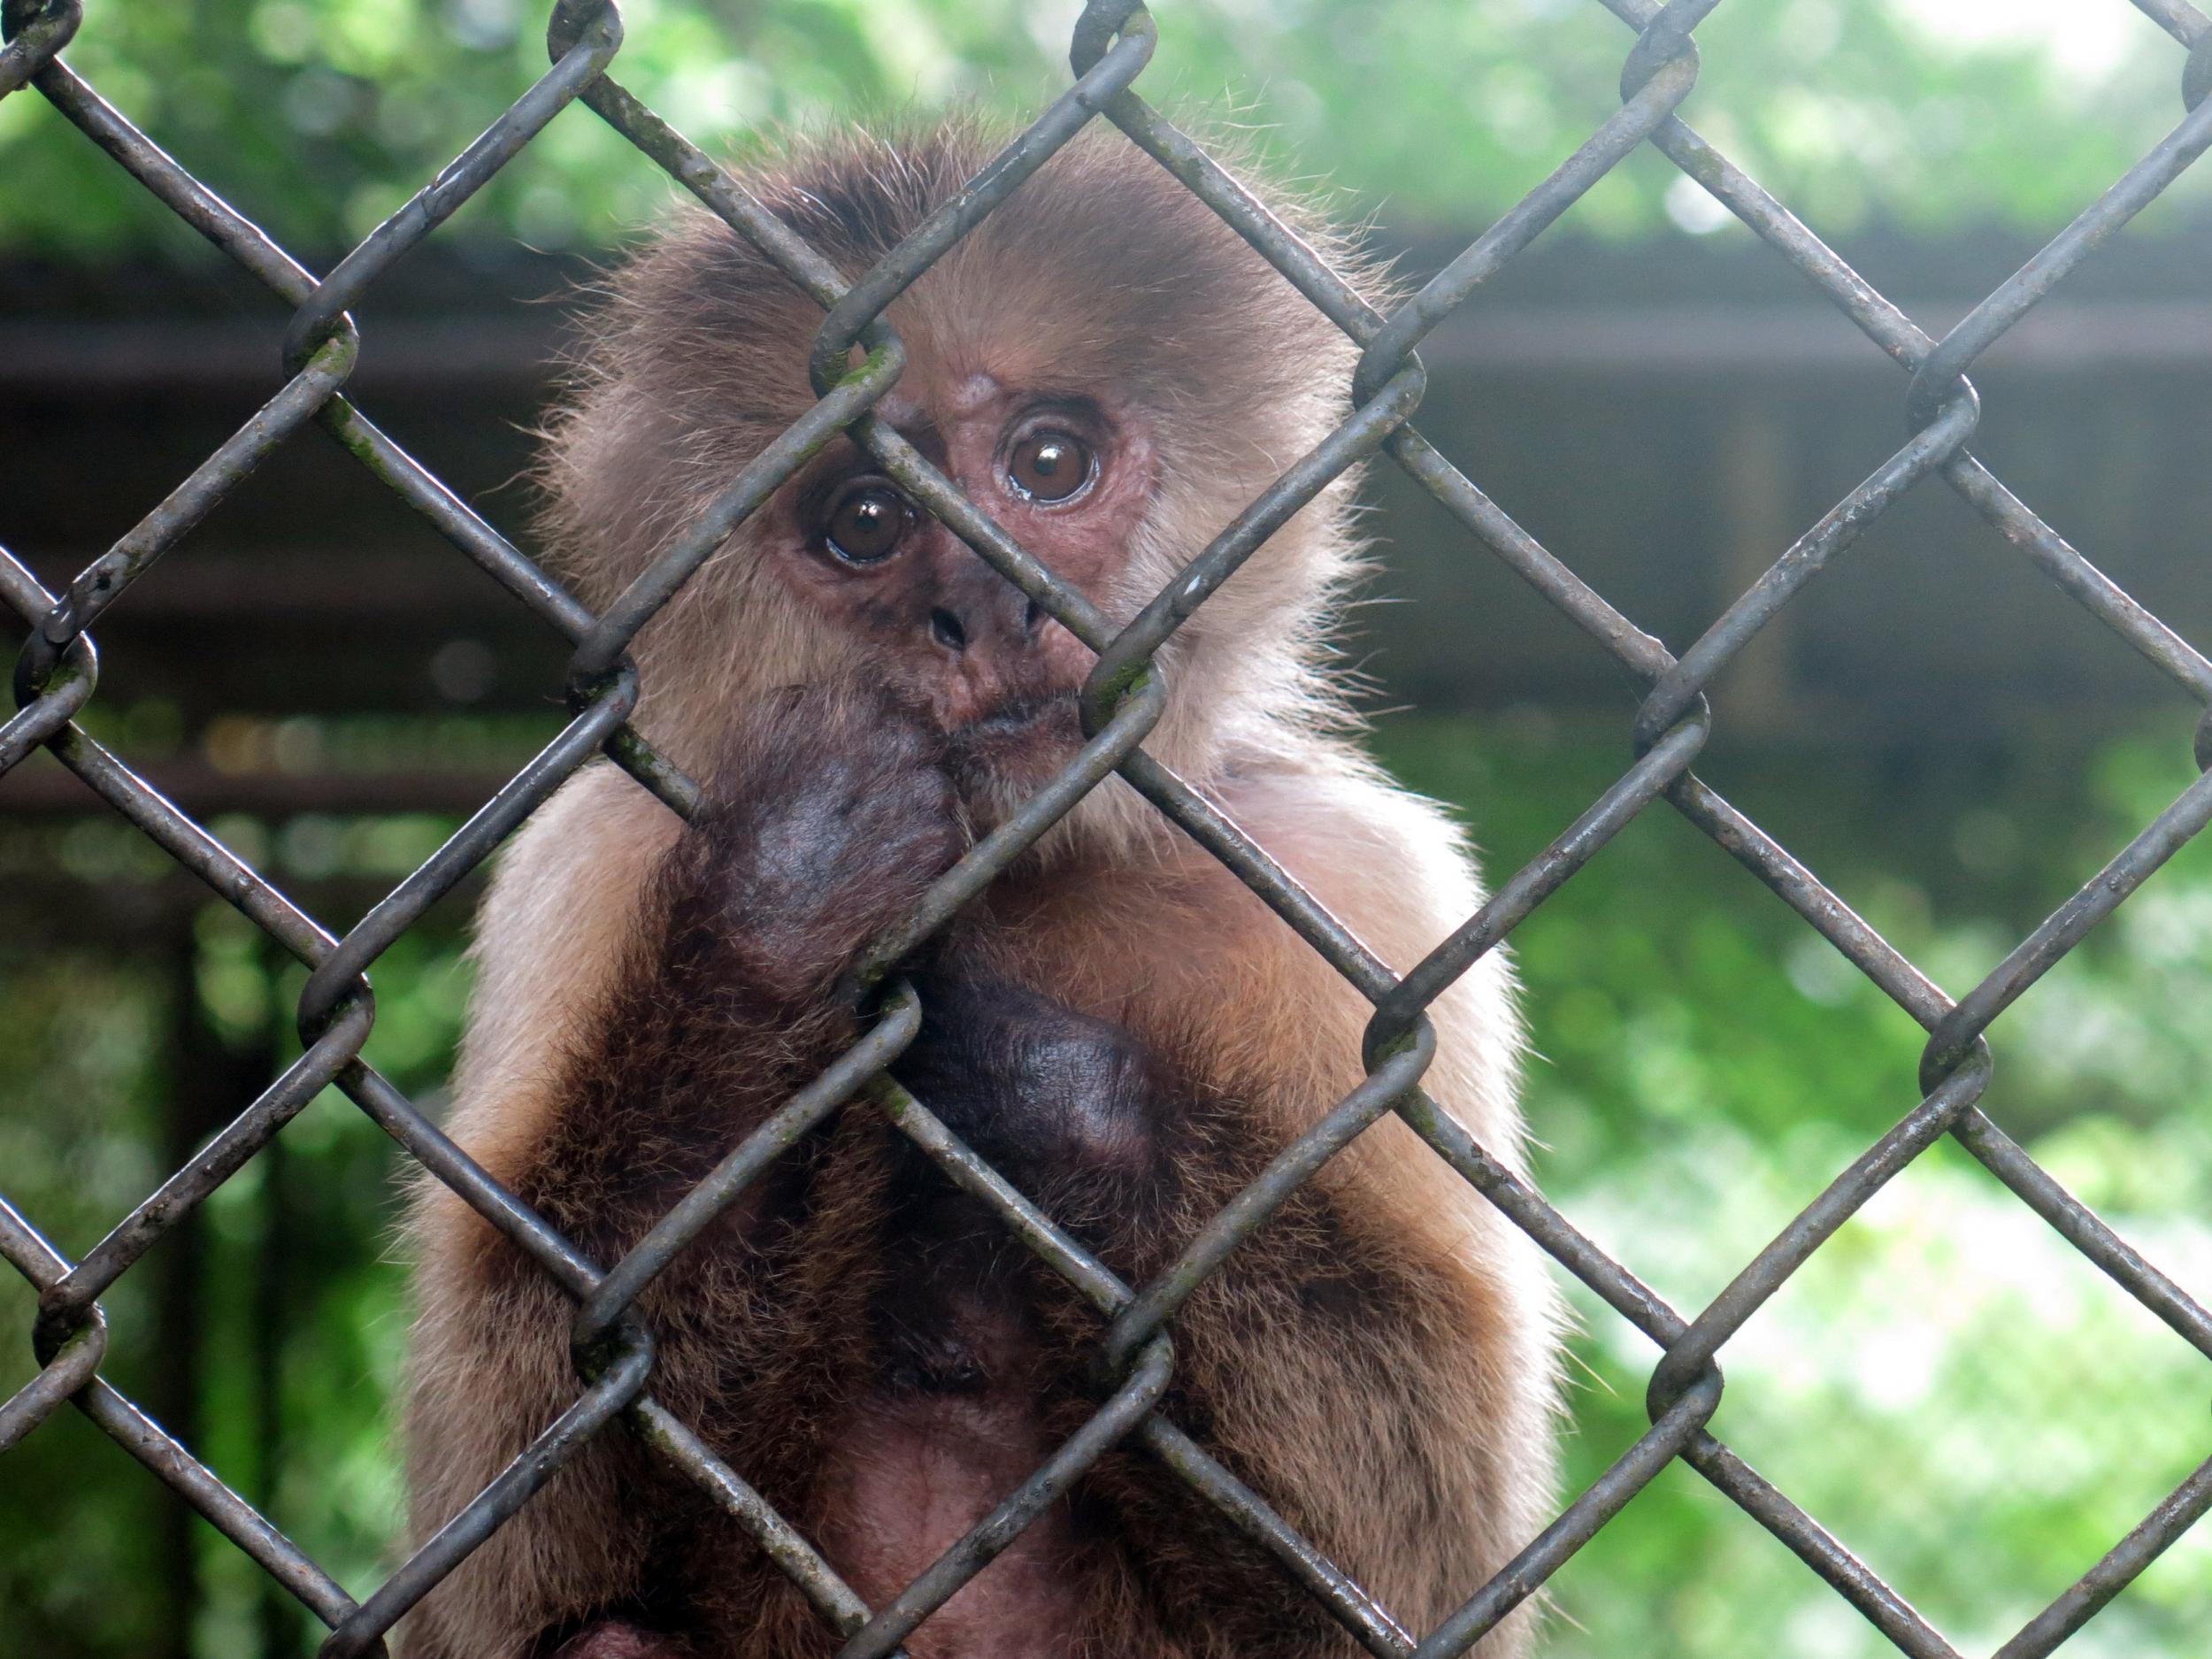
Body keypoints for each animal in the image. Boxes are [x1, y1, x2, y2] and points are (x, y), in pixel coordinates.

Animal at [403, 127, 1557, 1659]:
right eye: (868, 521)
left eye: (1047, 463)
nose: (981, 611)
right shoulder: (595, 848)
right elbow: (508, 1544)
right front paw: (787, 907)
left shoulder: (1363, 879)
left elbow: (1420, 1577)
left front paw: (1021, 1071)